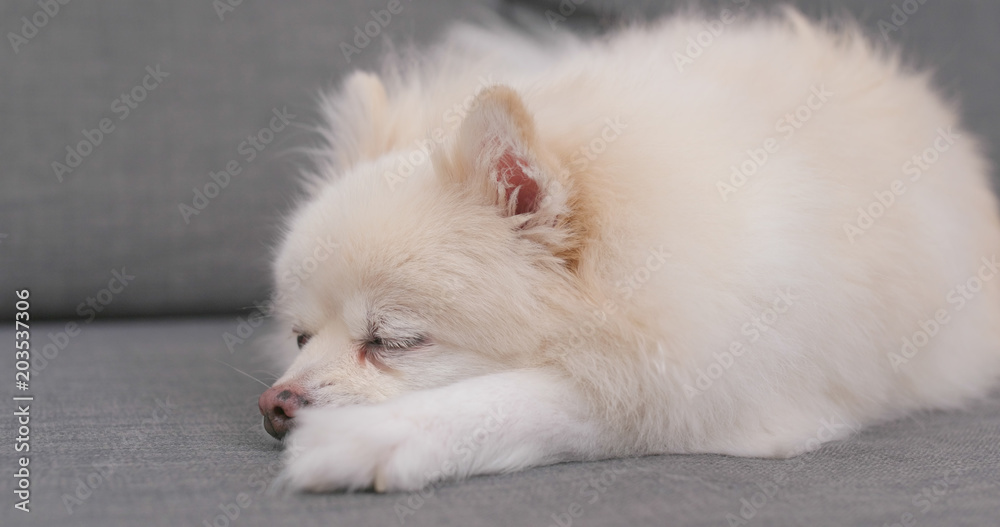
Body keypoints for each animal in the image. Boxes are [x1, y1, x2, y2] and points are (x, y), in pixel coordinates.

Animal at [260, 6, 1000, 492]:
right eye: (300, 336)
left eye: (394, 341)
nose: (275, 404)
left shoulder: (705, 387)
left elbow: (522, 400)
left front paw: (369, 439)